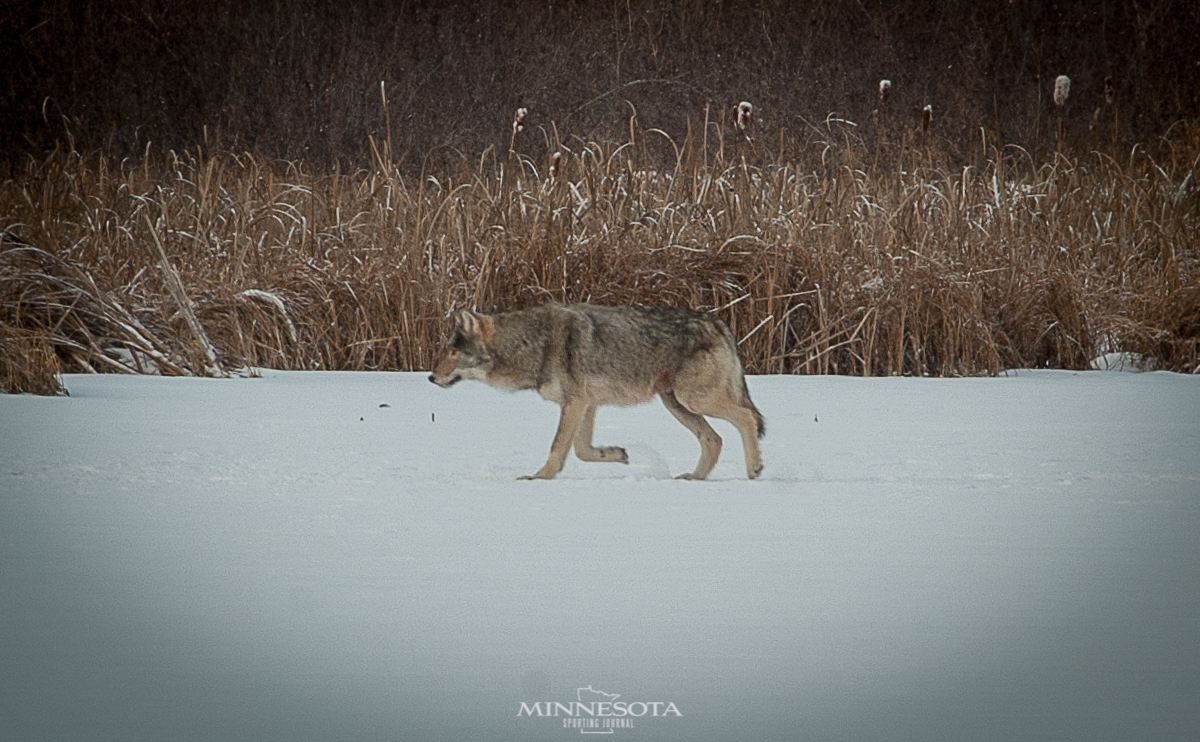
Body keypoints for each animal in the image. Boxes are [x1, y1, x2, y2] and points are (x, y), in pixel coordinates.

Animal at [428, 303, 764, 480]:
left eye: (453, 352)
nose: (431, 377)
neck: (533, 344)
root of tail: (718, 321)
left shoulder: (575, 404)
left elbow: (557, 447)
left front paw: (538, 478)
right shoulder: (586, 404)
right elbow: (581, 450)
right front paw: (617, 453)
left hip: (693, 399)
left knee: (746, 418)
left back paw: (754, 472)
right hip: (678, 404)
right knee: (714, 439)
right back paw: (694, 478)